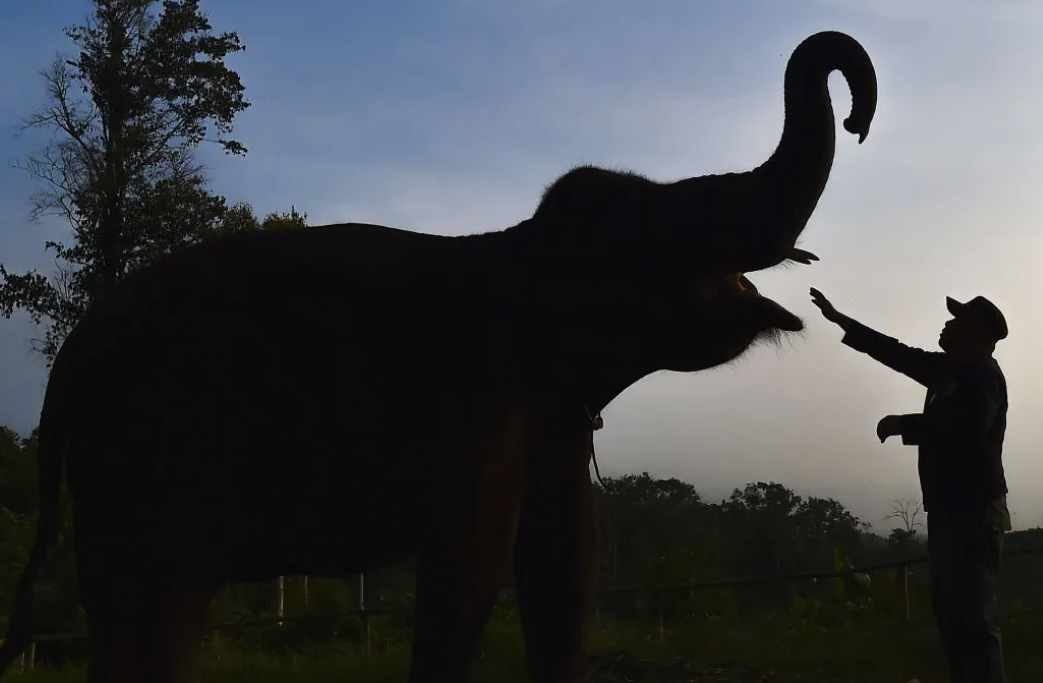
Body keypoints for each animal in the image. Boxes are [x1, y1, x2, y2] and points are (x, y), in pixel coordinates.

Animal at [0, 30, 877, 683]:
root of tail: (69, 360)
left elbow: (564, 565)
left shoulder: (550, 413)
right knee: (145, 612)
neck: (510, 248)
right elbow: (471, 570)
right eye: (632, 230)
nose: (860, 116)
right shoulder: (477, 402)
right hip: (137, 470)